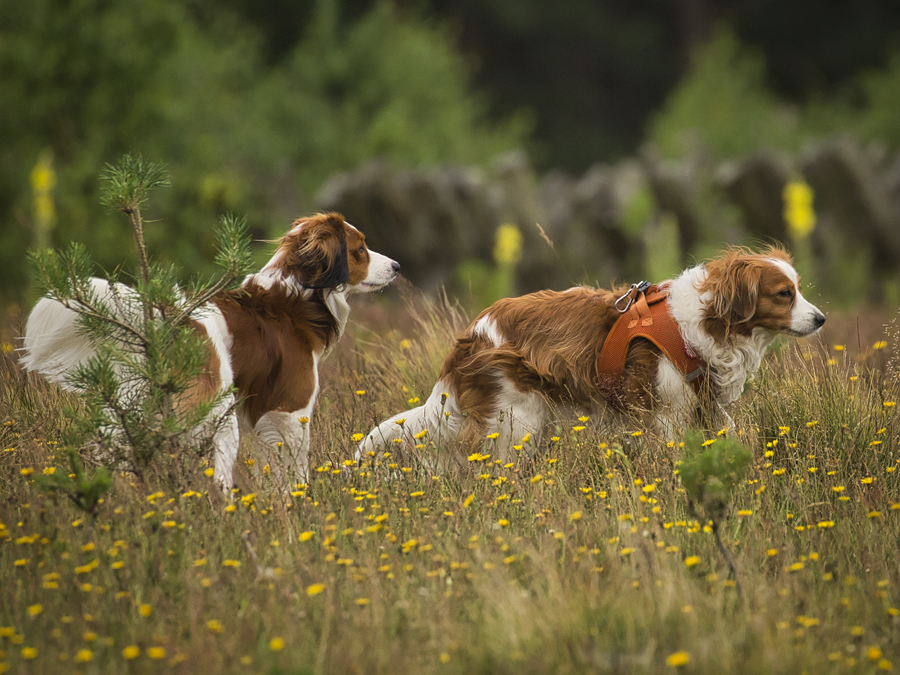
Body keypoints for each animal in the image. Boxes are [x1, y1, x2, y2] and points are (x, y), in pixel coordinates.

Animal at [21, 214, 400, 488]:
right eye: (360, 248)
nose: (397, 266)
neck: (291, 294)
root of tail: (166, 321)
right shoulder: (290, 410)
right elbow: (293, 470)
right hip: (217, 414)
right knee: (217, 482)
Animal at [358, 248, 824, 464]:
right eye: (784, 294)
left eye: (799, 289)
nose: (820, 318)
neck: (700, 322)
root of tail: (471, 336)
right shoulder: (665, 412)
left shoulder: (704, 405)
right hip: (518, 422)